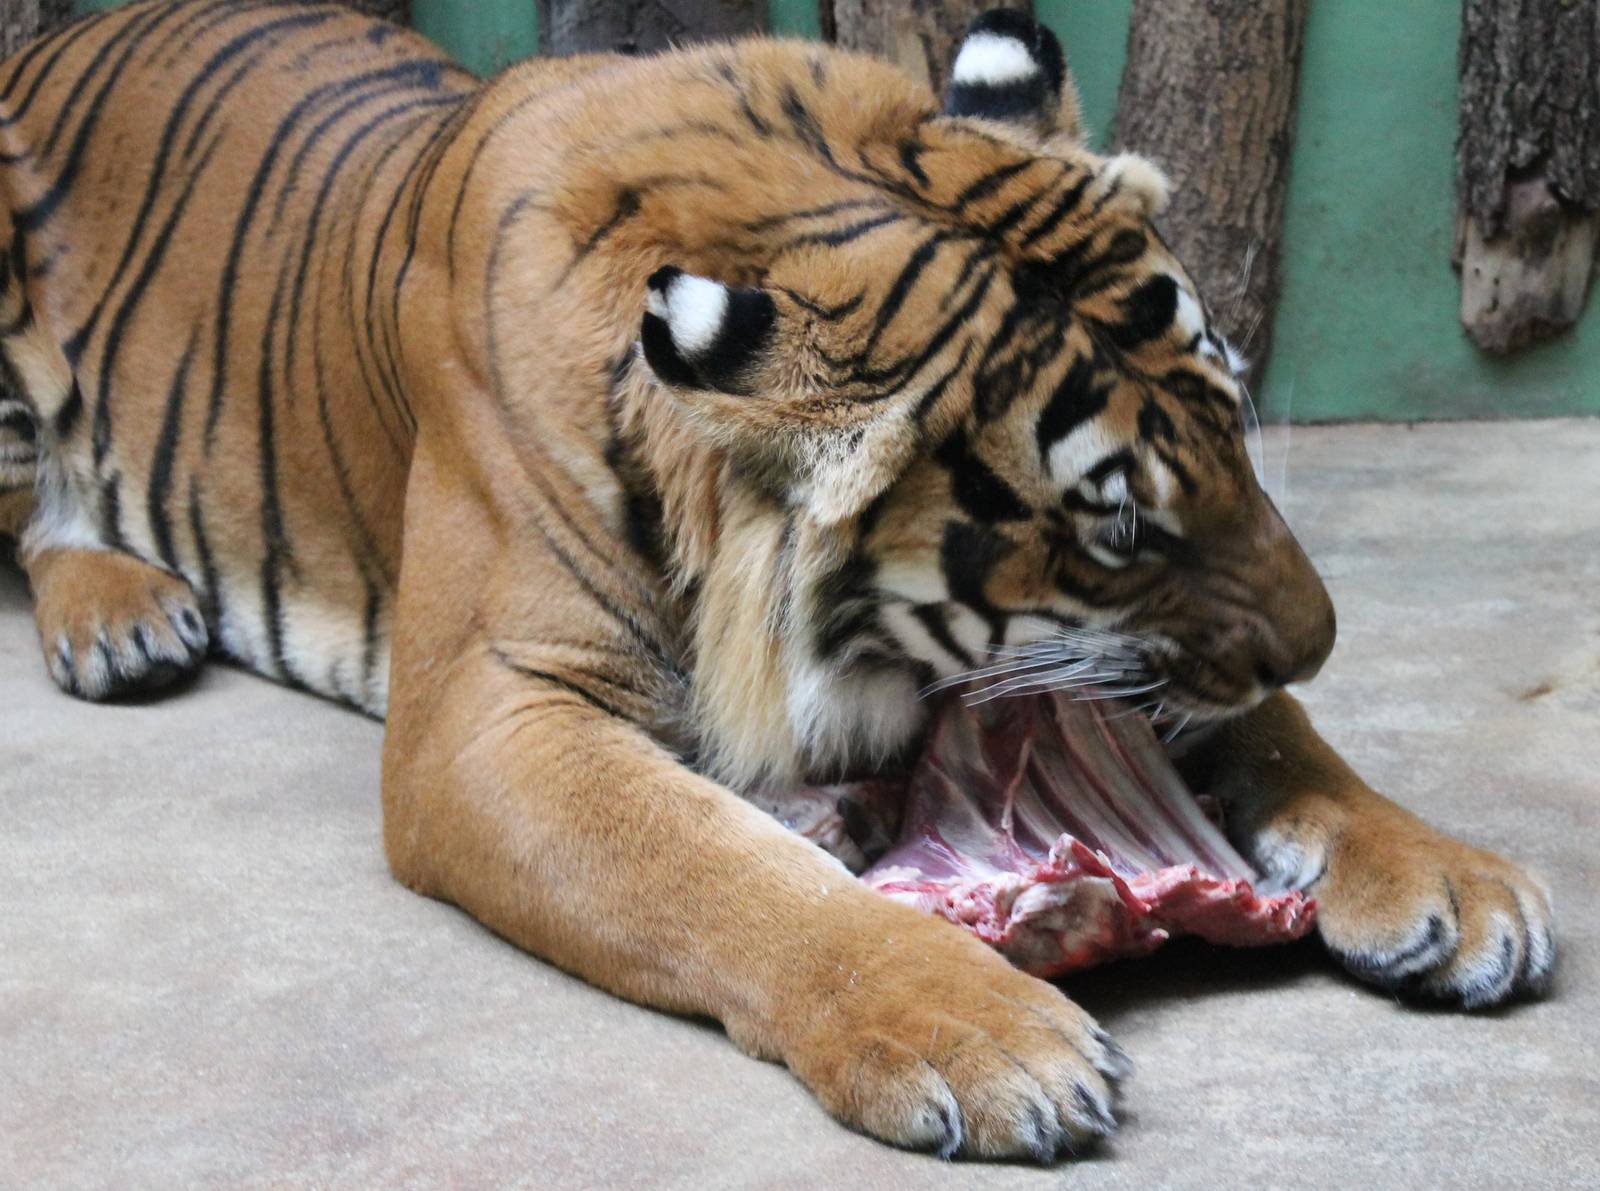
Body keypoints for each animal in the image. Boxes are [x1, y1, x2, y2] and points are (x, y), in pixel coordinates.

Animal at [0, 1, 1555, 1162]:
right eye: (1116, 529)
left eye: (1236, 425)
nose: (1322, 640)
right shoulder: (489, 717)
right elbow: (719, 872)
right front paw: (983, 1031)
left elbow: (1280, 740)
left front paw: (1453, 878)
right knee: (33, 523)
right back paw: (120, 614)